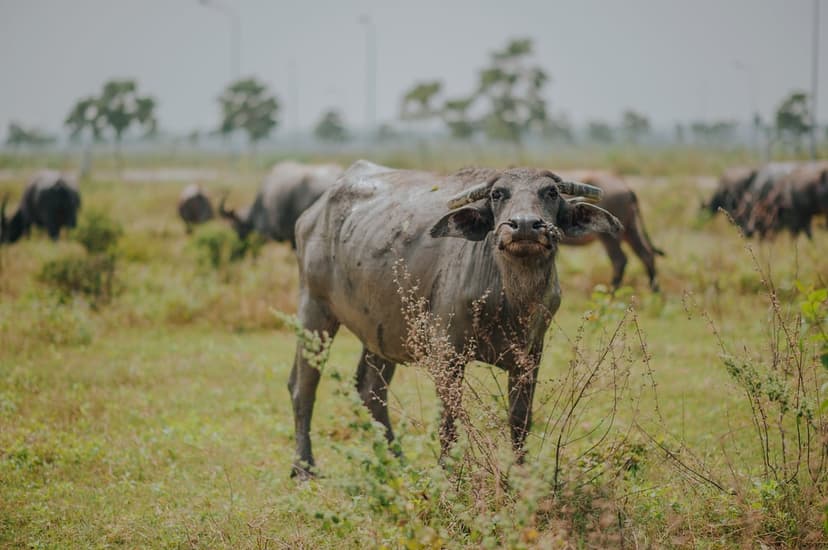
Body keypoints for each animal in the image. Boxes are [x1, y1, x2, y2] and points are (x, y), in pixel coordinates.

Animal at [288, 161, 621, 478]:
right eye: (498, 194)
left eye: (550, 192)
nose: (525, 225)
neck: (508, 300)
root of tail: (310, 216)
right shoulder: (446, 353)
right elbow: (449, 421)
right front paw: (449, 474)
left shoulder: (530, 355)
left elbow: (520, 419)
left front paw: (521, 474)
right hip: (315, 311)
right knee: (303, 386)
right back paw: (304, 468)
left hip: (381, 331)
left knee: (370, 391)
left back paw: (398, 462)